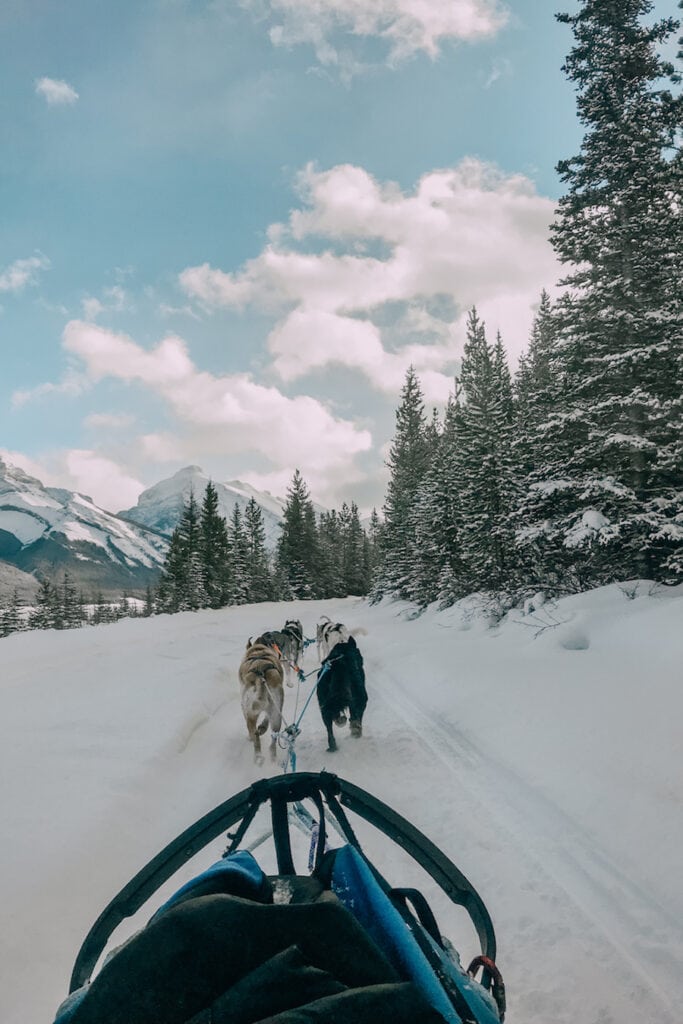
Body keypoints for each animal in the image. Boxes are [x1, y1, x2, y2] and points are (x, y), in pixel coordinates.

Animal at [239, 634, 284, 765]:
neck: (259, 650)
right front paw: (263, 727)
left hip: (251, 712)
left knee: (254, 733)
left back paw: (258, 755)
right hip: (277, 711)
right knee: (274, 735)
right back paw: (272, 756)